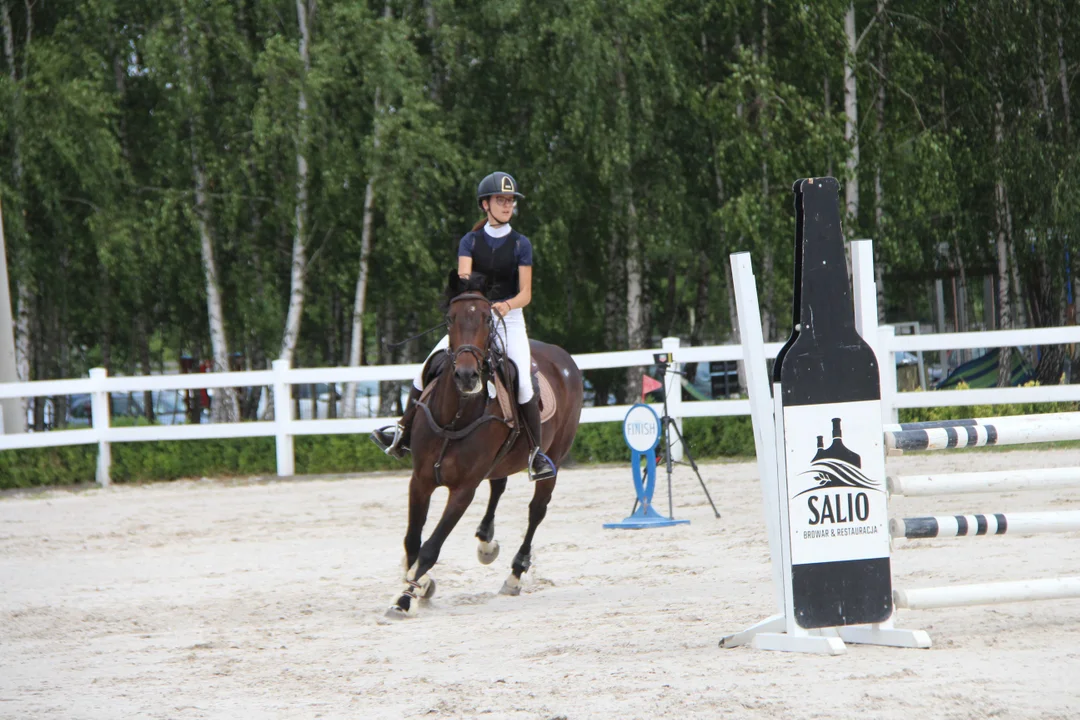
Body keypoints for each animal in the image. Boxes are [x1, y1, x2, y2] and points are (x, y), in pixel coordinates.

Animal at [390, 273, 583, 617]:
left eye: (486, 319)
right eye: (450, 319)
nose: (466, 376)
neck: (455, 416)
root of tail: (564, 358)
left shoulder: (463, 491)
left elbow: (430, 547)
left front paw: (406, 596)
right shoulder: (420, 480)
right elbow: (412, 540)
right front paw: (421, 583)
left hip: (554, 458)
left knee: (536, 511)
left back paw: (514, 575)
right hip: (500, 461)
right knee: (498, 486)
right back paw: (486, 542)